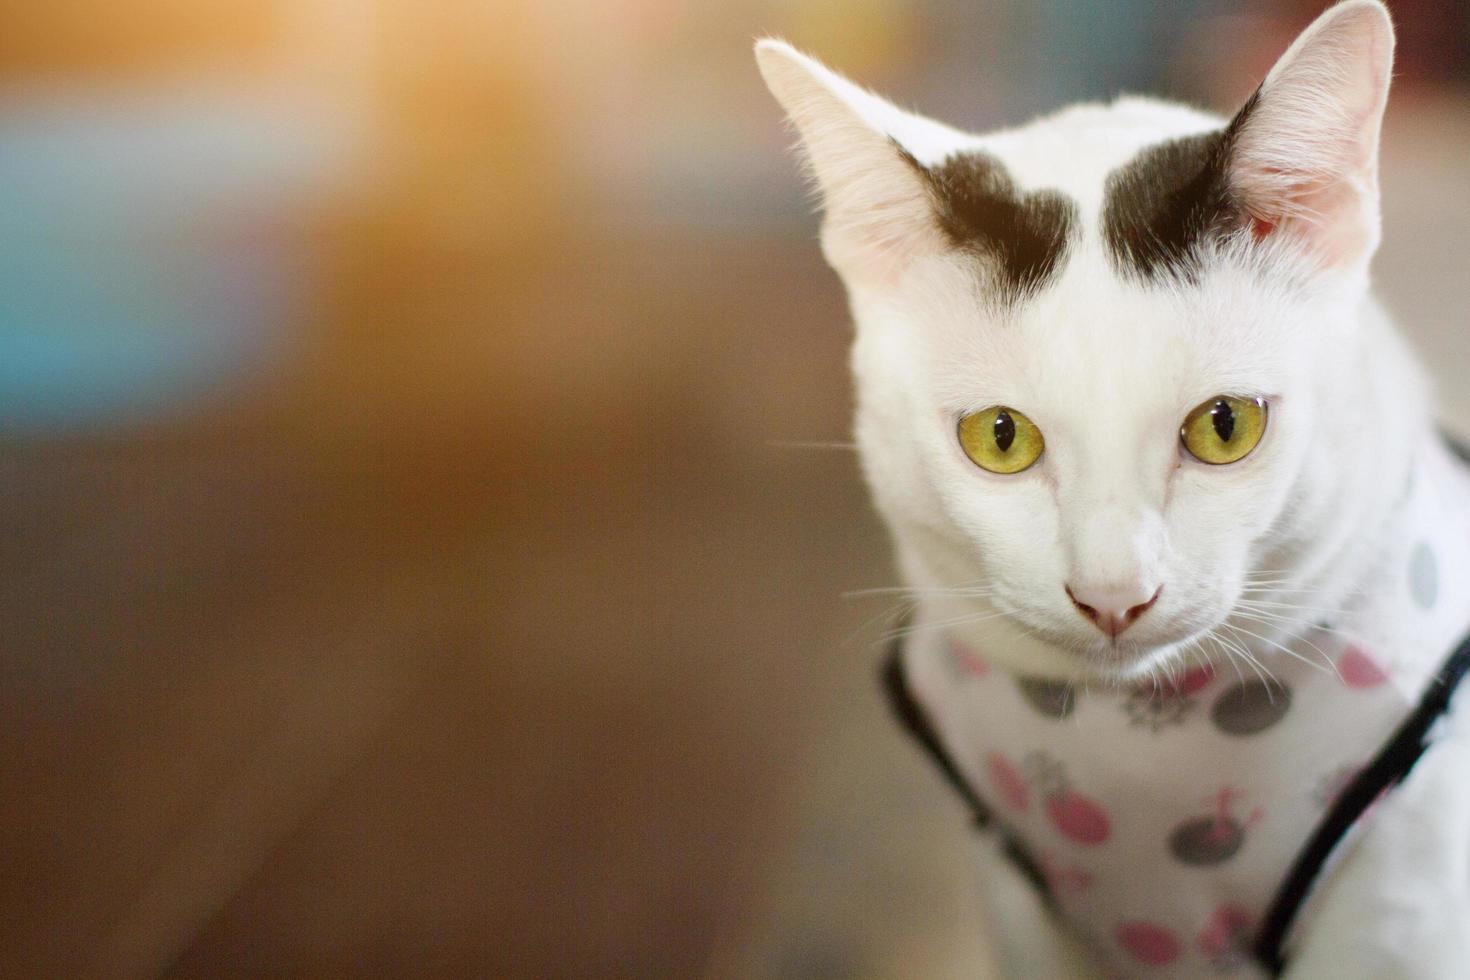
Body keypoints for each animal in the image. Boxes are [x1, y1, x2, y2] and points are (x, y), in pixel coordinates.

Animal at [758, 3, 1470, 975]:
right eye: (1001, 437)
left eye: (1224, 426)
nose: (1113, 595)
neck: (1141, 745)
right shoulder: (1017, 898)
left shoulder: (1403, 906)